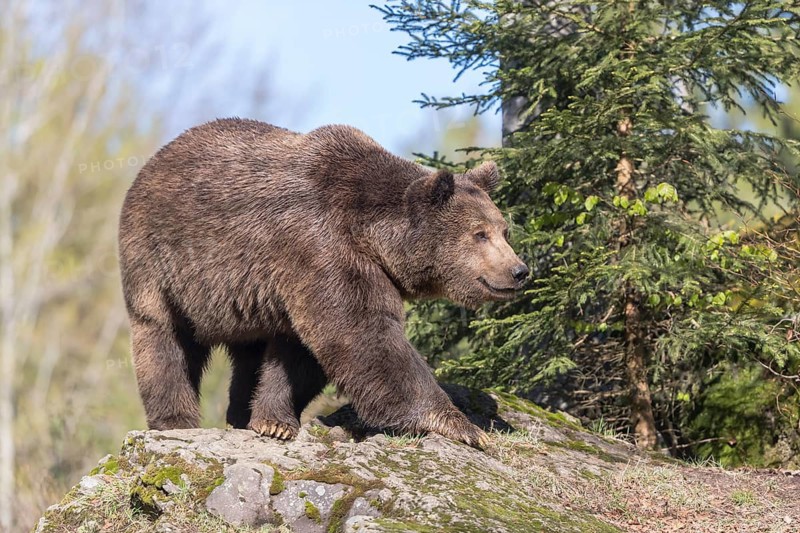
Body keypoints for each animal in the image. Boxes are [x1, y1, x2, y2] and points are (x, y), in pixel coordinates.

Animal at [118, 118, 529, 447]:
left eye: (504, 230)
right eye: (480, 234)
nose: (519, 270)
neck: (371, 233)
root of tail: (153, 161)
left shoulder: (303, 277)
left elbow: (304, 352)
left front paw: (275, 422)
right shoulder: (320, 248)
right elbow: (363, 336)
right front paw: (463, 426)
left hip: (243, 300)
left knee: (250, 349)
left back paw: (240, 414)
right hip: (161, 263)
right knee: (163, 337)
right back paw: (176, 421)